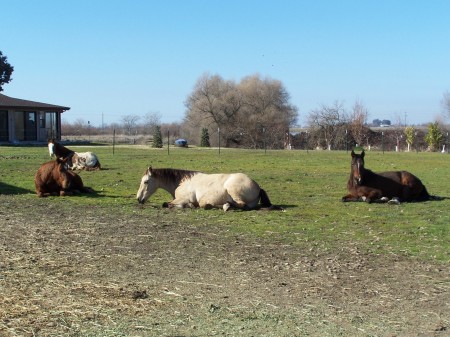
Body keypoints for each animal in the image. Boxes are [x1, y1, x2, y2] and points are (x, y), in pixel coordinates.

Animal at [135, 167, 282, 211]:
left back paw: (222, 206)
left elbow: (166, 204)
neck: (181, 181)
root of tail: (258, 186)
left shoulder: (183, 198)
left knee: (239, 205)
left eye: (146, 182)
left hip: (233, 190)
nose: (138, 199)